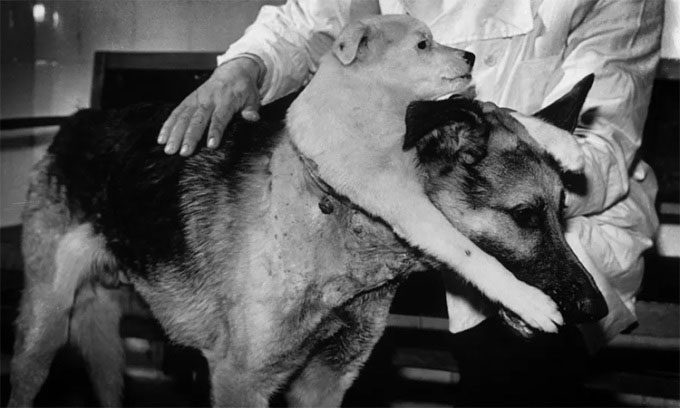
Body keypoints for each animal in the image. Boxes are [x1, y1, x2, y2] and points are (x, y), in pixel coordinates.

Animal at [9, 75, 604, 404]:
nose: (596, 309)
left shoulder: (324, 382)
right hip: (42, 335)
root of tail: (76, 118)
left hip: (103, 342)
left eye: (563, 212)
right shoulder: (241, 382)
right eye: (524, 215)